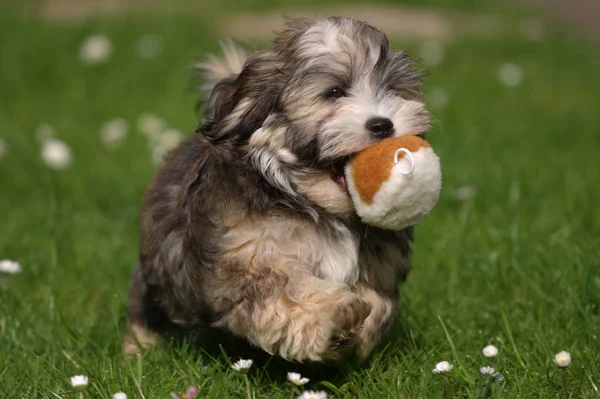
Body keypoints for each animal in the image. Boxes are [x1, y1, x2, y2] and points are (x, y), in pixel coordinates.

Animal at [124, 17, 428, 364]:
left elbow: (378, 302)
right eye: (334, 92)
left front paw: (358, 340)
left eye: (392, 90)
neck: (314, 204)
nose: (383, 124)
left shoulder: (381, 264)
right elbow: (287, 292)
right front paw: (339, 315)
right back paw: (140, 347)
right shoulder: (251, 261)